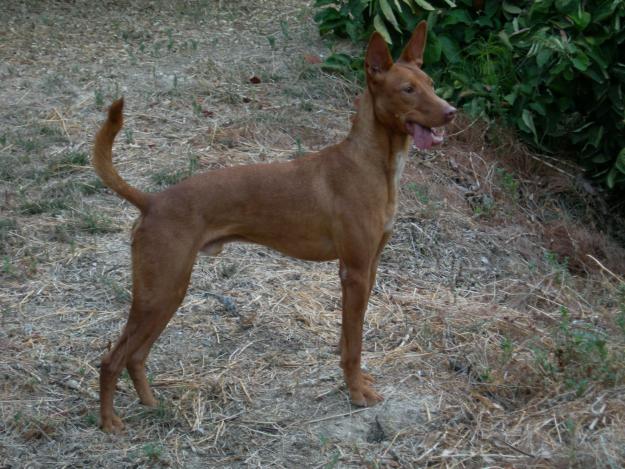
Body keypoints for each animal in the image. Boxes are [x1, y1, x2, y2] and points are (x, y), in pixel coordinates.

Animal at [92, 22, 454, 432]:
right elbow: (355, 344)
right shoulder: (355, 272)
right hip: (158, 292)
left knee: (135, 356)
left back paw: (151, 403)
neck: (371, 164)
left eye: (430, 83)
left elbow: (348, 340)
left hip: (169, 293)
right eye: (407, 89)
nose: (451, 112)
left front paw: (356, 381)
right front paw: (357, 393)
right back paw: (109, 422)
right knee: (111, 359)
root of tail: (152, 201)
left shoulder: (369, 267)